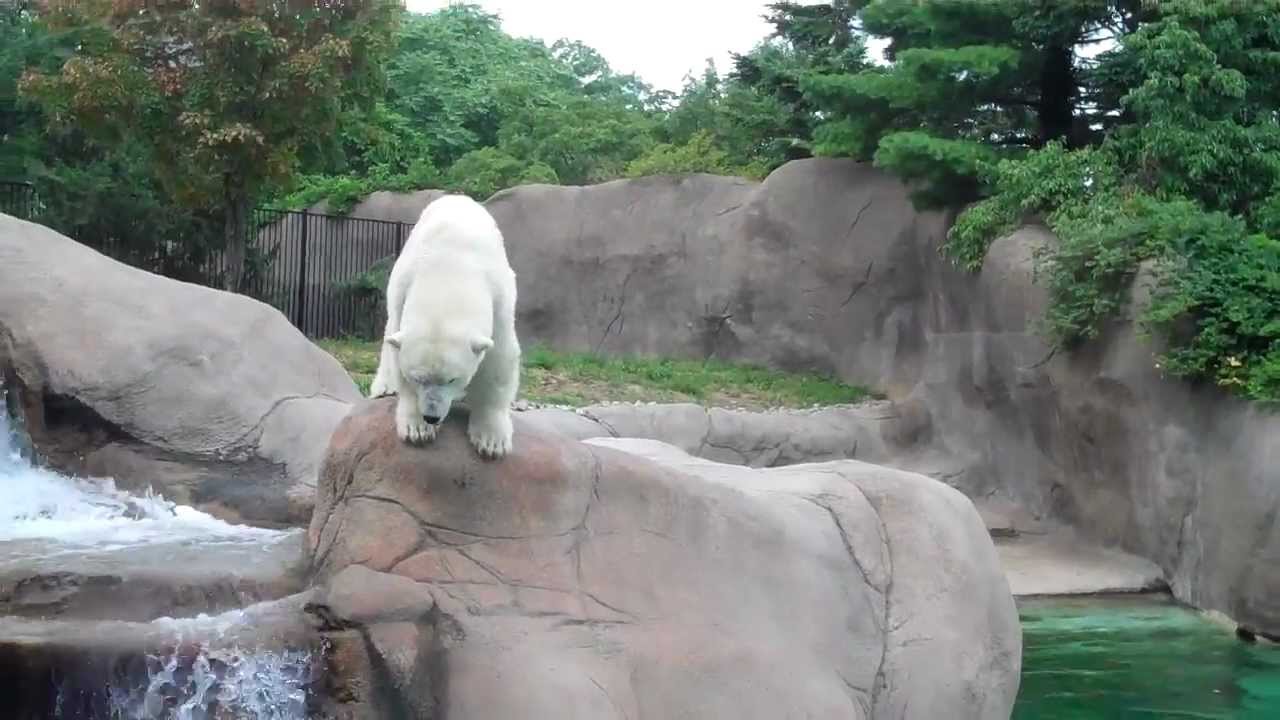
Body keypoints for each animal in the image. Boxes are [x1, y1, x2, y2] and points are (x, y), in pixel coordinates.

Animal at [368, 194, 521, 458]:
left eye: (452, 379)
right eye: (418, 379)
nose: (431, 416)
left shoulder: (500, 297)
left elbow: (499, 359)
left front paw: (491, 441)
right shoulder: (402, 287)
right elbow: (398, 354)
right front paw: (417, 428)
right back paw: (383, 386)